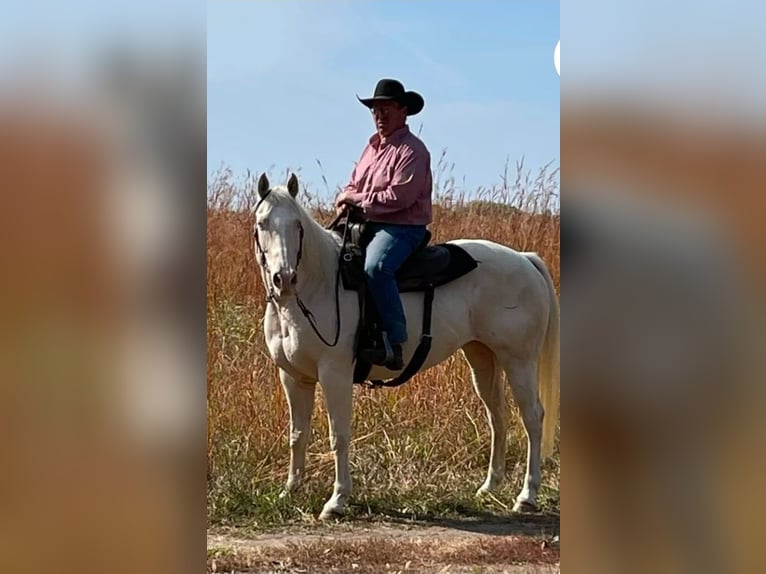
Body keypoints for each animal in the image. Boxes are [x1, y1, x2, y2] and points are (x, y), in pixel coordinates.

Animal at [252, 172, 559, 520]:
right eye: (262, 223)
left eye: (297, 225)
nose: (285, 278)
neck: (317, 286)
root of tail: (524, 259)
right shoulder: (293, 377)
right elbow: (297, 434)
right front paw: (290, 490)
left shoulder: (335, 374)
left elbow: (338, 435)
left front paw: (337, 500)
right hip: (482, 356)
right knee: (497, 415)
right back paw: (488, 487)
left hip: (519, 360)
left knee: (532, 417)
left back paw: (527, 496)